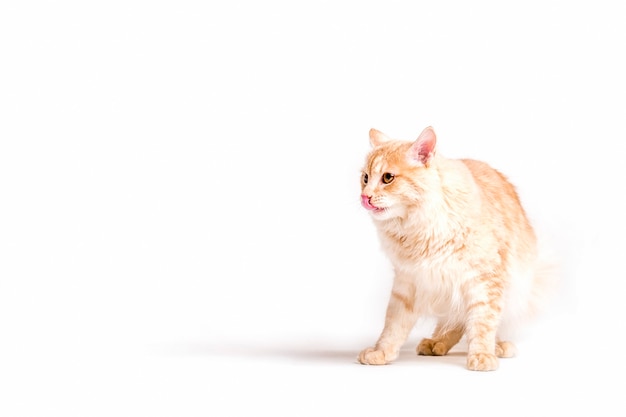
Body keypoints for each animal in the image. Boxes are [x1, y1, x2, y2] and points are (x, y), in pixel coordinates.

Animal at [358, 125, 552, 368]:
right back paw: (436, 343)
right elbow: (392, 326)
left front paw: (482, 355)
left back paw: (497, 347)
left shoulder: (485, 279)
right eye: (365, 178)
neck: (419, 228)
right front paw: (381, 352)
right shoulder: (408, 282)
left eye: (387, 178)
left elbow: (483, 322)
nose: (364, 197)